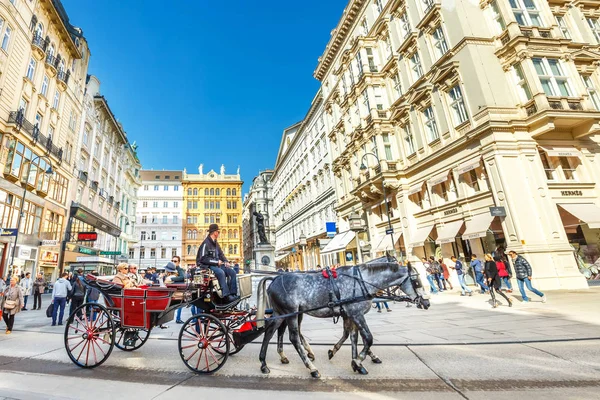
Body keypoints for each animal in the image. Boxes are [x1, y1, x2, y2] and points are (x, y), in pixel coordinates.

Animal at [258, 256, 426, 378]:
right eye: (417, 282)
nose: (426, 302)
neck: (362, 281)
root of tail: (274, 279)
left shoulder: (350, 315)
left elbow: (353, 337)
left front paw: (356, 361)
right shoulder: (356, 314)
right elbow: (367, 338)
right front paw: (358, 361)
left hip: (282, 313)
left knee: (270, 331)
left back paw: (265, 363)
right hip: (291, 313)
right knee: (293, 337)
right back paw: (311, 368)